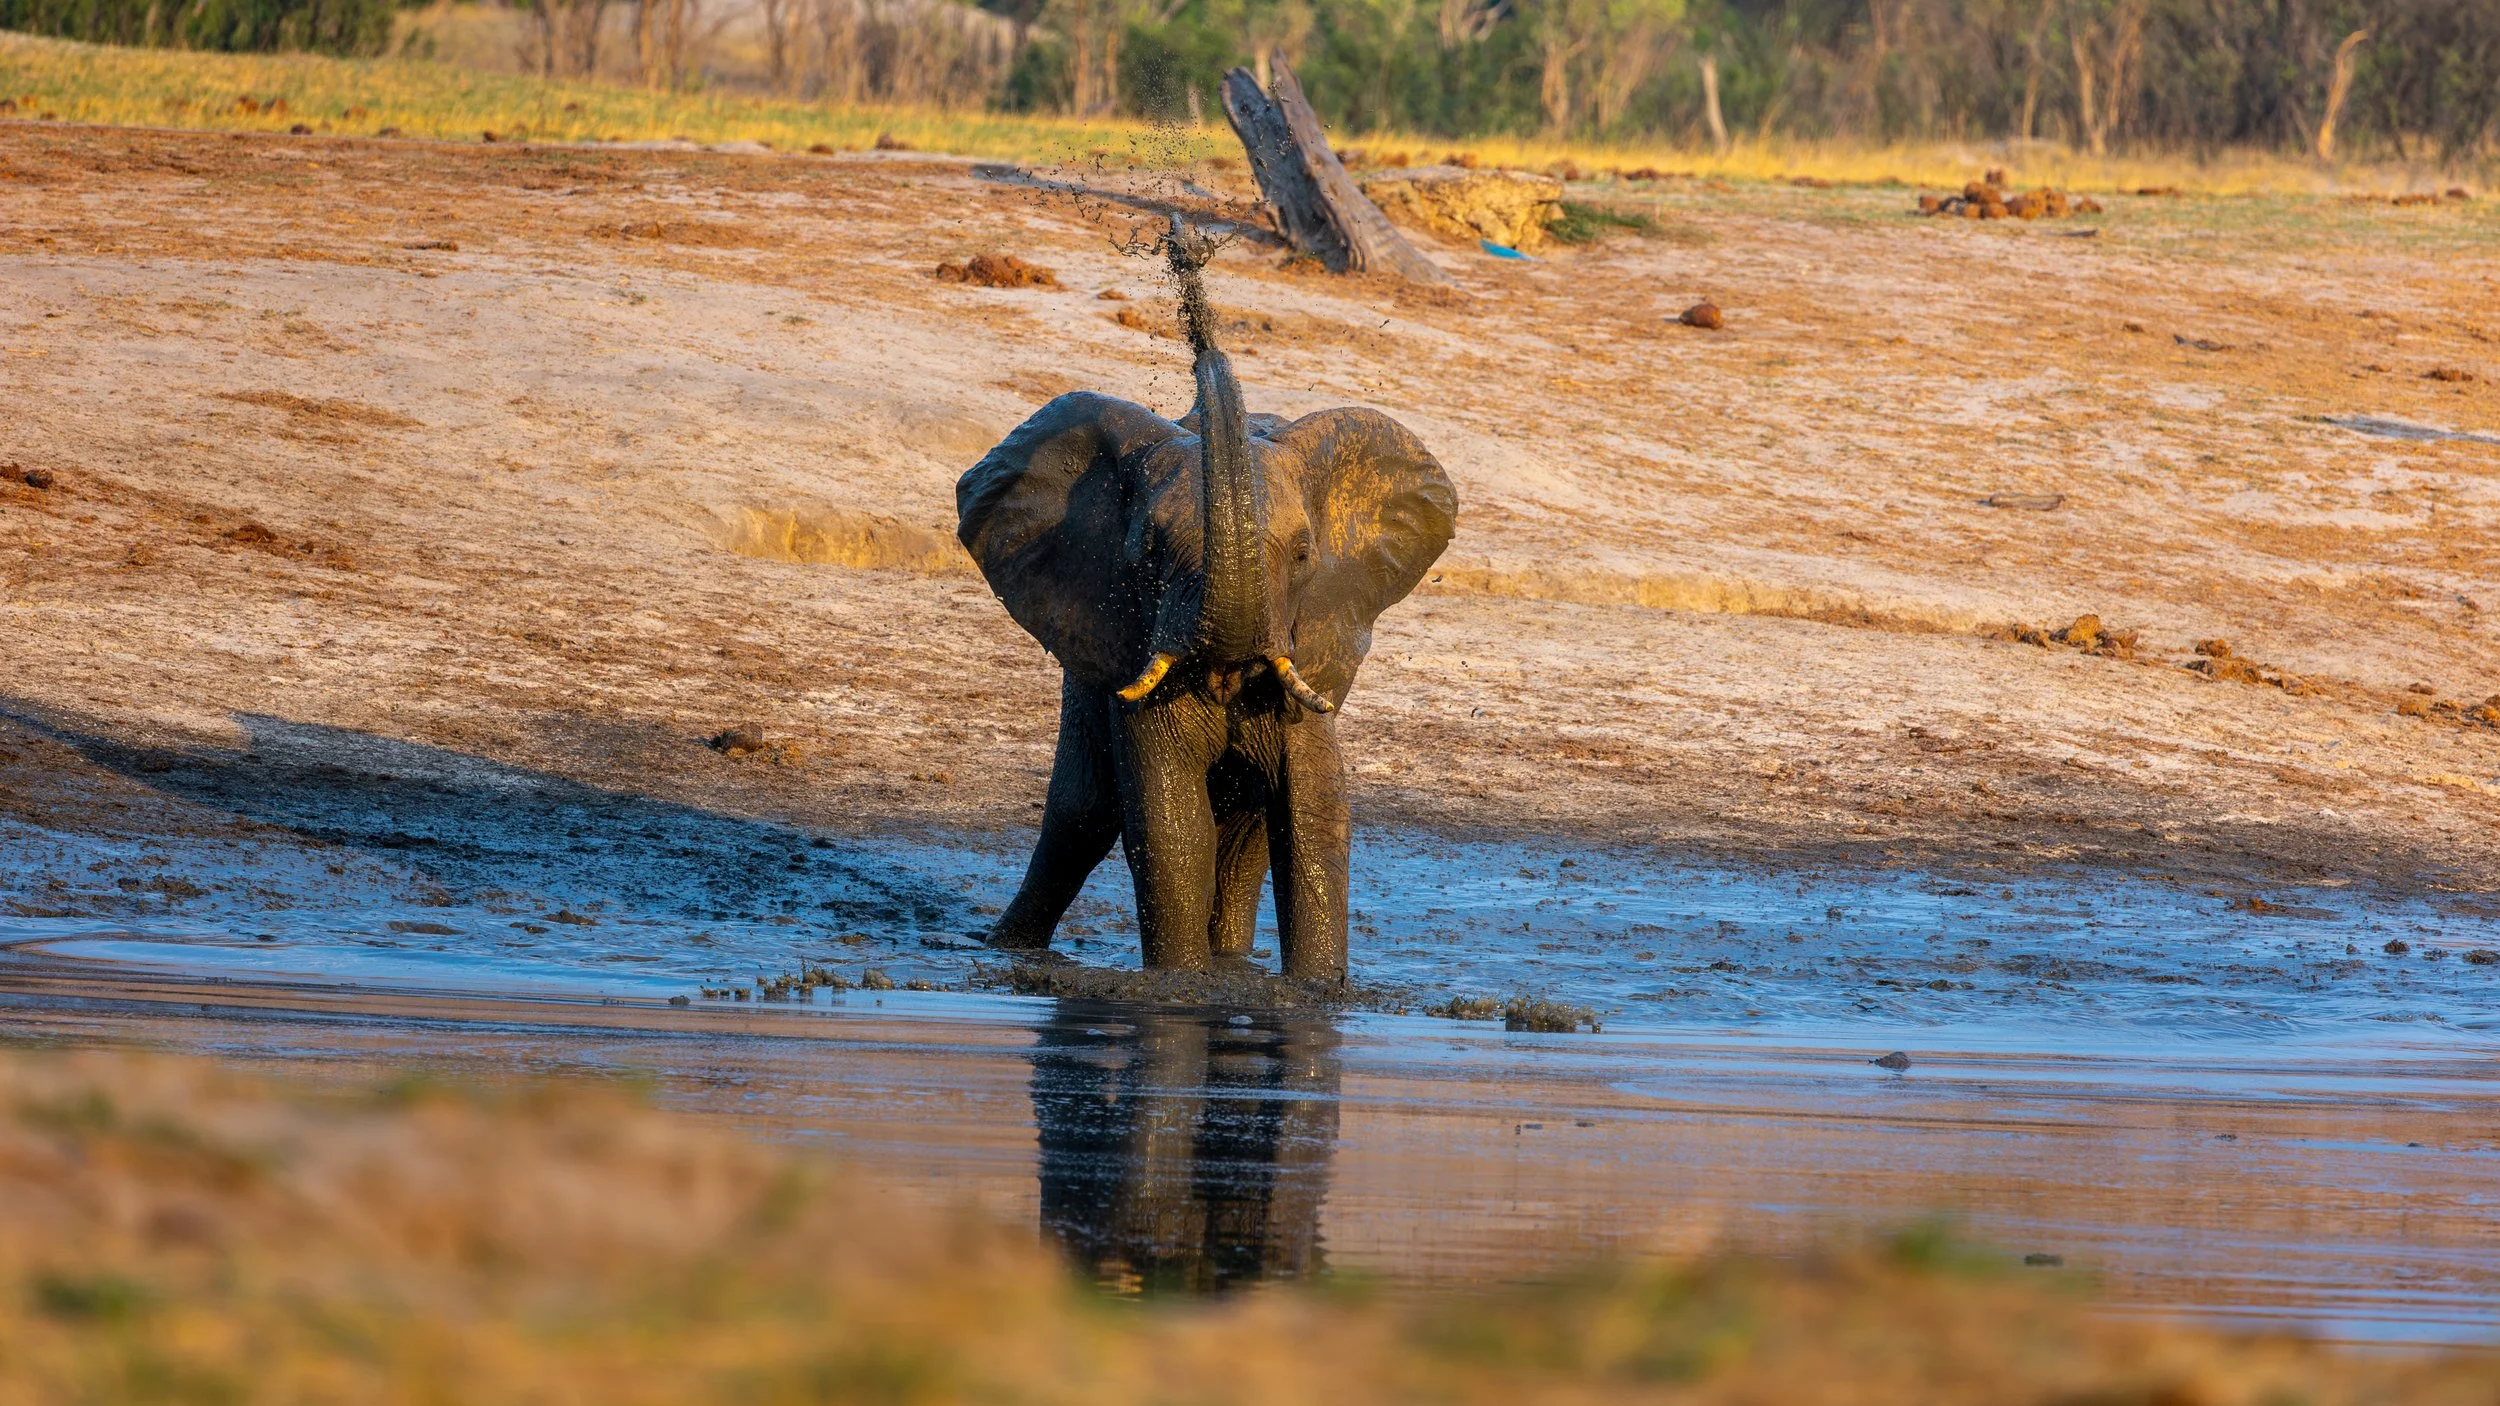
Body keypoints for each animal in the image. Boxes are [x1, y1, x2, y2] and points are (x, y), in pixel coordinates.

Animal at [956, 224, 1457, 983]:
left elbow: (1313, 817)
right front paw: (1182, 987)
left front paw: (1316, 993)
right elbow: (1169, 824)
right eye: (1149, 552)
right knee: (1080, 816)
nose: (1184, 246)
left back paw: (1232, 964)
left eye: (1304, 555)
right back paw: (1004, 951)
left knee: (1242, 832)